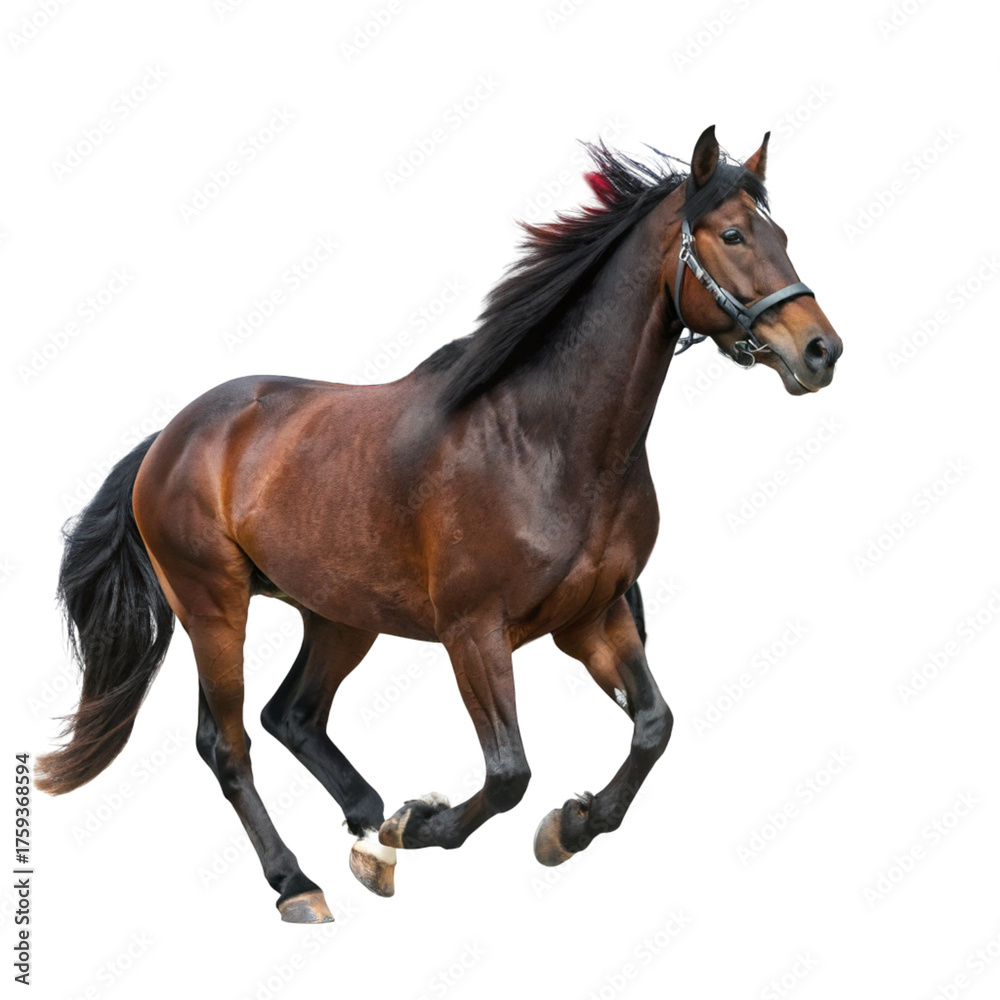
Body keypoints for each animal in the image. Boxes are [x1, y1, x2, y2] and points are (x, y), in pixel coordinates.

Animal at [37, 126, 842, 923]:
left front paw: (569, 824)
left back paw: (368, 827)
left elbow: (653, 726)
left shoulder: (594, 615)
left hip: (339, 614)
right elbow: (510, 772)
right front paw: (421, 823)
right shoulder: (474, 631)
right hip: (214, 609)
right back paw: (300, 881)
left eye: (781, 233)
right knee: (228, 745)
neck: (545, 442)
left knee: (290, 715)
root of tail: (170, 439)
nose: (821, 350)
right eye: (732, 234)